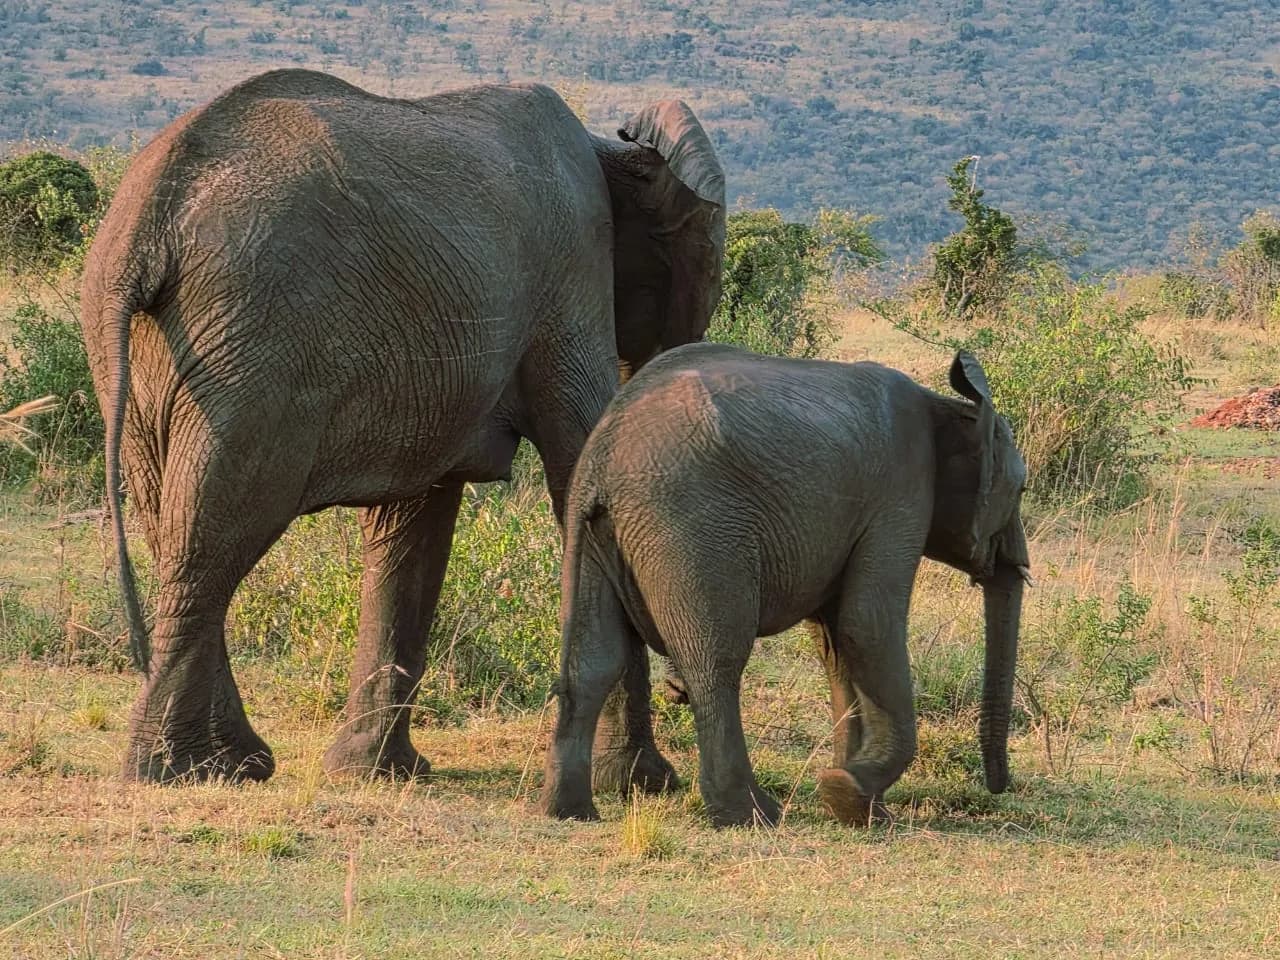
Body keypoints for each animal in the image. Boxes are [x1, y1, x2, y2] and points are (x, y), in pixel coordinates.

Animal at [79, 68, 726, 784]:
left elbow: (414, 526)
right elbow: (577, 482)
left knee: (172, 526)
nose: (681, 689)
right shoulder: (572, 282)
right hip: (250, 346)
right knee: (215, 527)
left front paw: (372, 774)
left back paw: (232, 764)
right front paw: (644, 783)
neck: (609, 148)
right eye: (709, 258)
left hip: (153, 354)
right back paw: (178, 769)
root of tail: (148, 222)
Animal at [540, 342, 1031, 828]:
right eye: (1022, 490)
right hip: (690, 528)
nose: (999, 785)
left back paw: (570, 811)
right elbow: (866, 626)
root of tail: (602, 453)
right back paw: (750, 814)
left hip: (596, 533)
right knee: (715, 660)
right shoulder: (901, 494)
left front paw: (853, 803)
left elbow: (836, 643)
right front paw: (850, 794)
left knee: (595, 662)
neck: (945, 405)